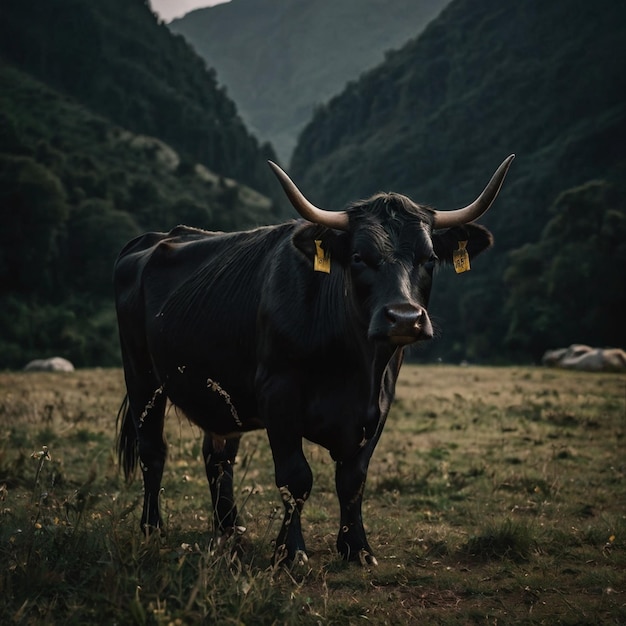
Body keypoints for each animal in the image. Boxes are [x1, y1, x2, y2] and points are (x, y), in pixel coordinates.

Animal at [113, 156, 512, 564]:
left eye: (429, 258)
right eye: (358, 257)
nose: (404, 317)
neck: (354, 367)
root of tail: (155, 239)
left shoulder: (379, 405)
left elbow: (353, 479)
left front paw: (357, 549)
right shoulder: (278, 396)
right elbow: (296, 477)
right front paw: (290, 551)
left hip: (222, 395)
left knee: (218, 456)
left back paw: (230, 531)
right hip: (142, 377)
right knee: (153, 451)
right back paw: (152, 528)